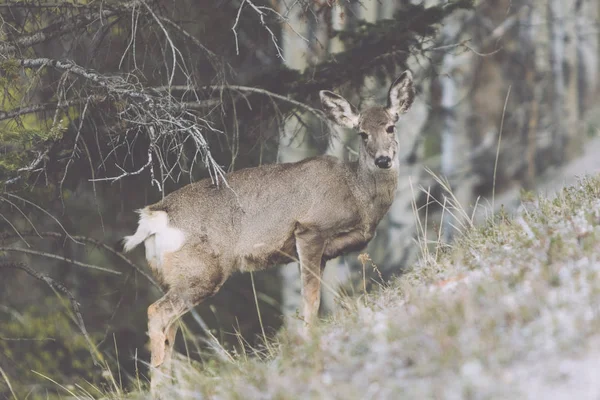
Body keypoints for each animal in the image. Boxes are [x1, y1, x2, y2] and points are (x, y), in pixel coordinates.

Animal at [120, 70, 412, 392]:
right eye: (362, 133)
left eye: (390, 126)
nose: (383, 159)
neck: (358, 195)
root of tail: (153, 217)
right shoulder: (310, 229)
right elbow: (310, 299)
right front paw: (309, 341)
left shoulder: (324, 253)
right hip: (201, 271)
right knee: (156, 313)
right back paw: (159, 387)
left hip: (172, 276)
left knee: (170, 326)